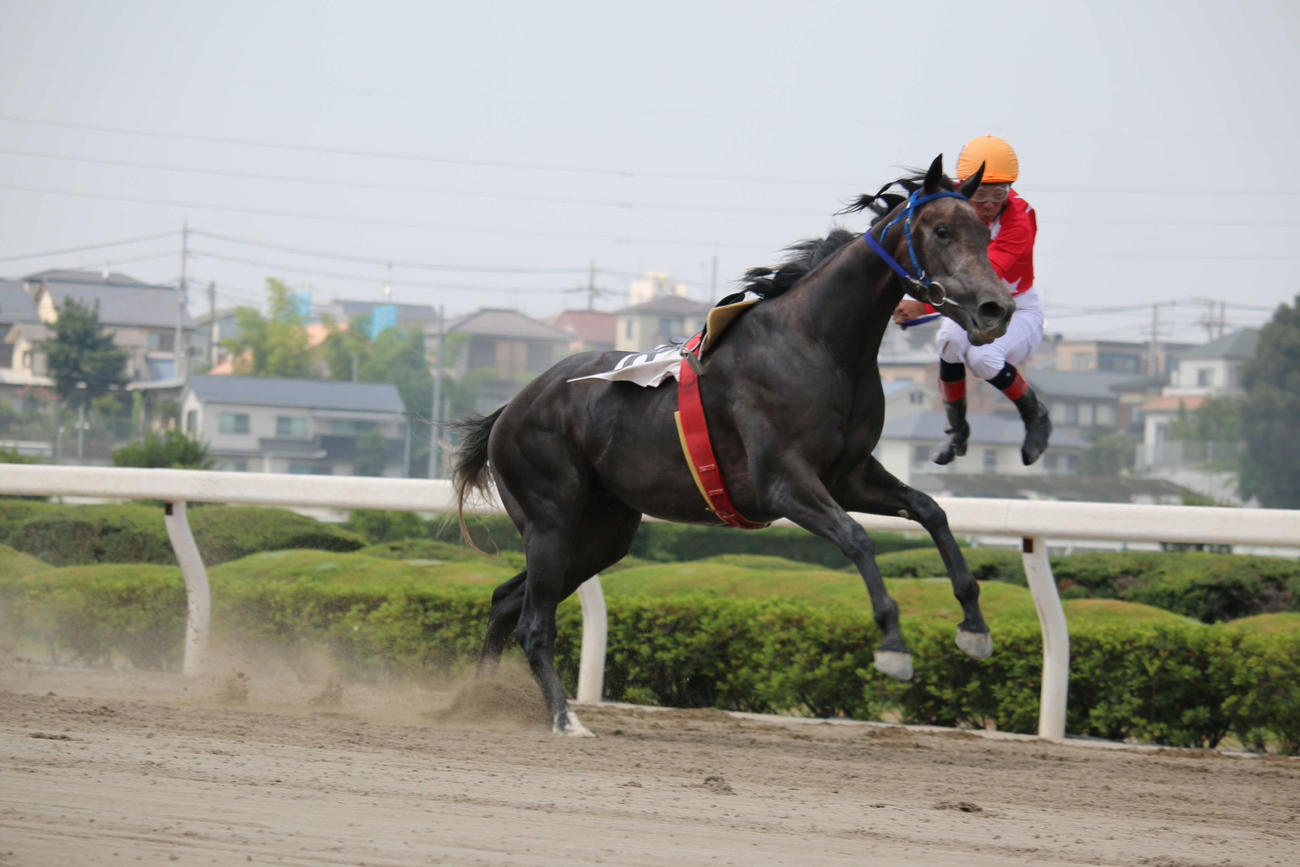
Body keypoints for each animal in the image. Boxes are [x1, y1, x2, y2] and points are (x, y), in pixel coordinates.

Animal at [452, 155, 1014, 736]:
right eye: (942, 230)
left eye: (984, 231)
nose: (997, 308)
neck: (818, 343)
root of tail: (509, 410)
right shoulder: (783, 483)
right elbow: (857, 538)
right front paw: (894, 646)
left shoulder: (849, 476)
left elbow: (930, 510)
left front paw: (974, 626)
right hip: (551, 519)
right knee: (532, 623)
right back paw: (565, 718)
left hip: (602, 531)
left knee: (504, 601)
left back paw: (476, 700)